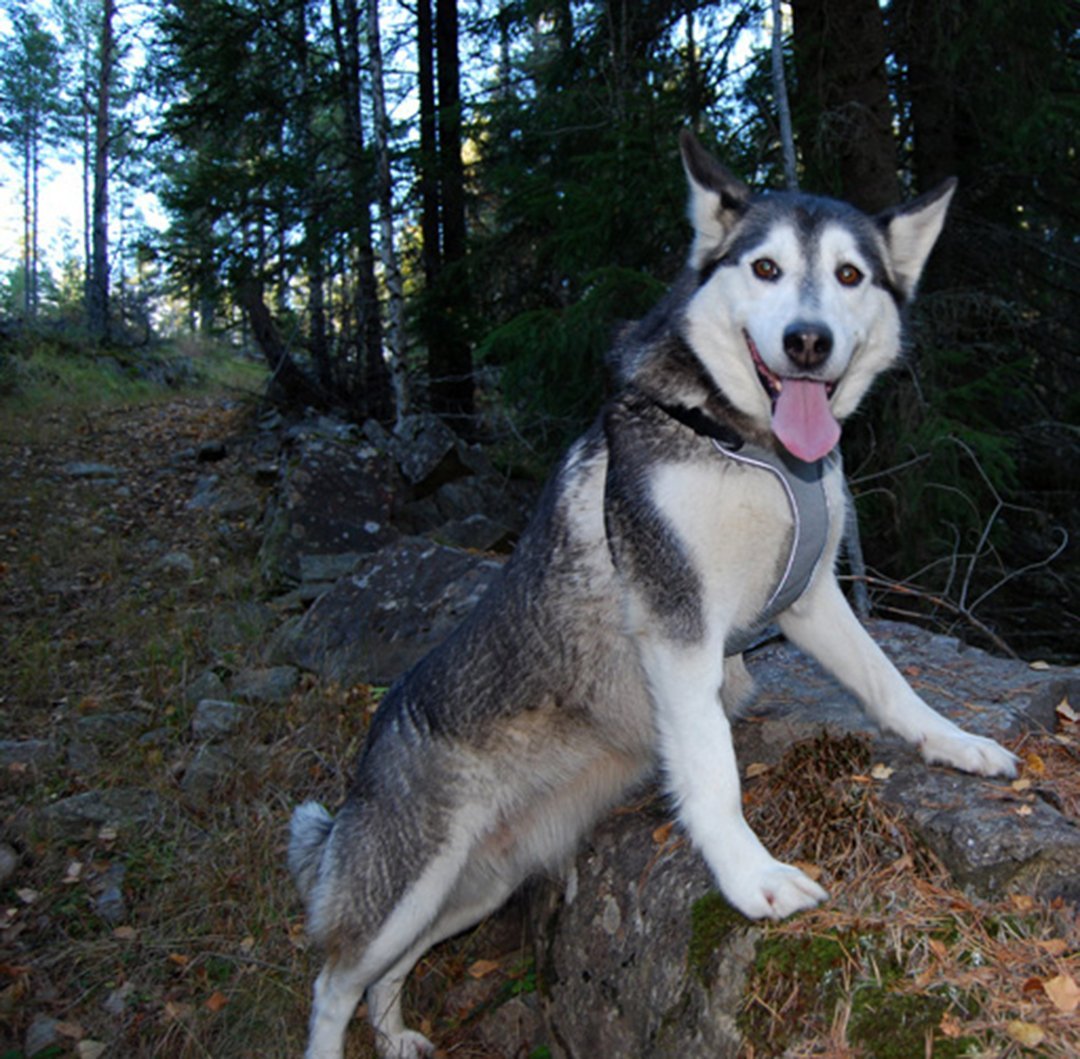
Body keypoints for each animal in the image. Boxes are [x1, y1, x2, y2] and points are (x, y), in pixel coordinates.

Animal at [291, 132, 1015, 1057]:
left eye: (850, 275)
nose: (807, 342)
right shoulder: (678, 622)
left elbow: (889, 683)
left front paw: (953, 742)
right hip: (409, 883)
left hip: (473, 890)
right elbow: (711, 770)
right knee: (333, 980)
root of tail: (372, 747)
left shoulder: (811, 599)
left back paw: (396, 1034)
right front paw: (750, 876)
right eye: (767, 268)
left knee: (387, 972)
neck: (752, 446)